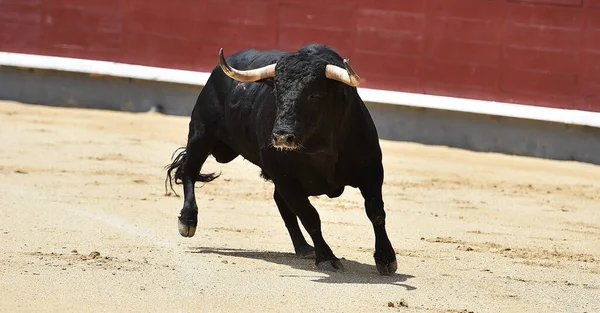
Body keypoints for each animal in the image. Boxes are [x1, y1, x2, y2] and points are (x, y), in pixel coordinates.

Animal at [166, 43, 396, 272]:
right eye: (276, 92)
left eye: (314, 95)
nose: (282, 136)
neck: (320, 145)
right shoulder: (285, 178)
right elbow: (310, 216)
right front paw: (326, 257)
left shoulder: (372, 170)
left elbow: (376, 212)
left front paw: (386, 258)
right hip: (201, 133)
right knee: (189, 171)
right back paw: (187, 221)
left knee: (280, 202)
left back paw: (303, 247)